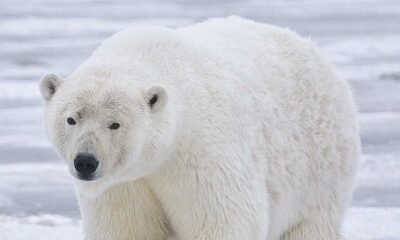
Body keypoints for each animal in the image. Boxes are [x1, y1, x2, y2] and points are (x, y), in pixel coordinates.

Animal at [39, 15, 360, 239]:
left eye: (114, 124)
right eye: (72, 118)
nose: (85, 162)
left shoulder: (200, 153)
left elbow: (224, 220)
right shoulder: (125, 184)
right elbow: (124, 227)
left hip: (319, 171)